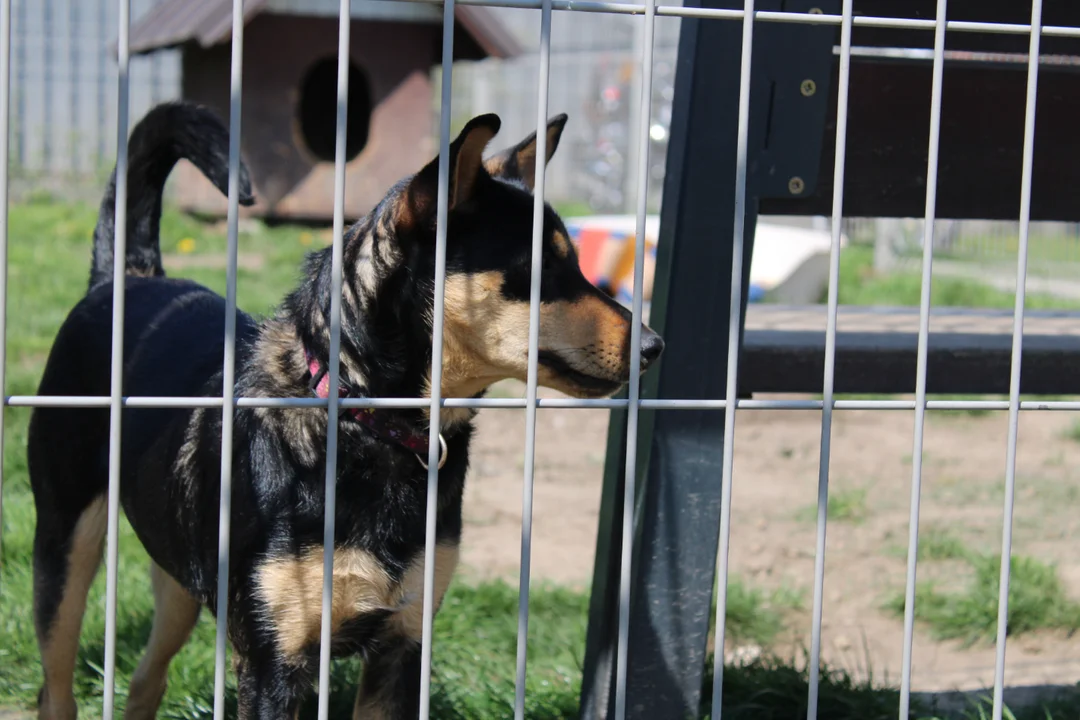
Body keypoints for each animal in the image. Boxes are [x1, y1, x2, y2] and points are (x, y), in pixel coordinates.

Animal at [29, 101, 660, 720]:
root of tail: (125, 279)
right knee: (56, 689)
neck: (368, 422)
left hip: (179, 580)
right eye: (542, 268)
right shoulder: (273, 665)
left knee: (145, 680)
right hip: (64, 552)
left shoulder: (402, 645)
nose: (655, 346)